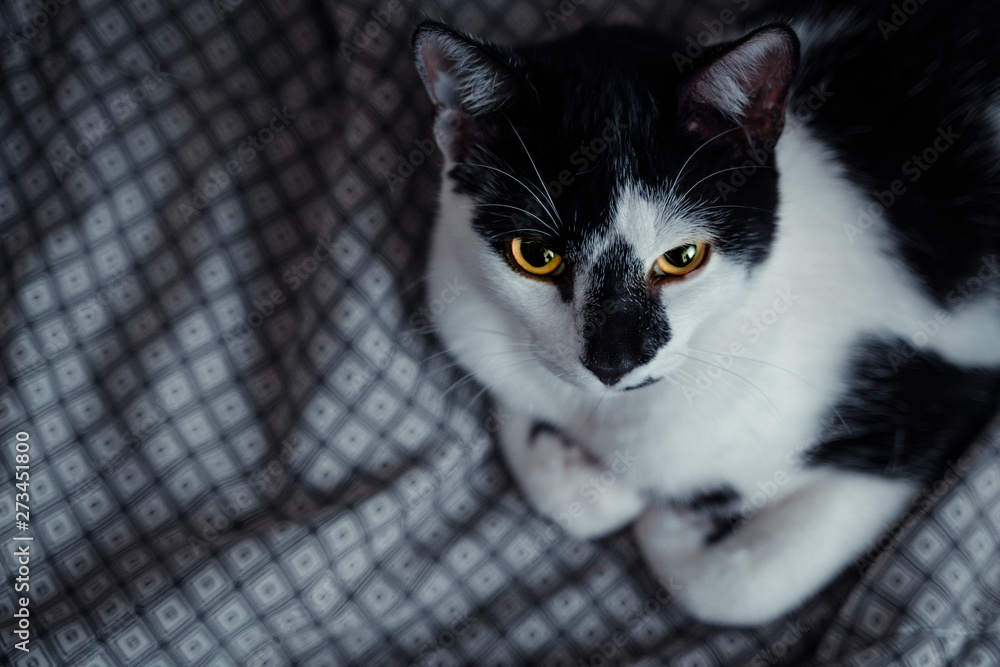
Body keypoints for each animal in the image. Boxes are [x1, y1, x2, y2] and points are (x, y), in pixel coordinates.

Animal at [408, 0, 1000, 628]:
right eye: (536, 255)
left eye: (683, 256)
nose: (614, 359)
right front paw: (570, 463)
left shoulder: (926, 405)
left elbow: (737, 586)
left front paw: (679, 521)